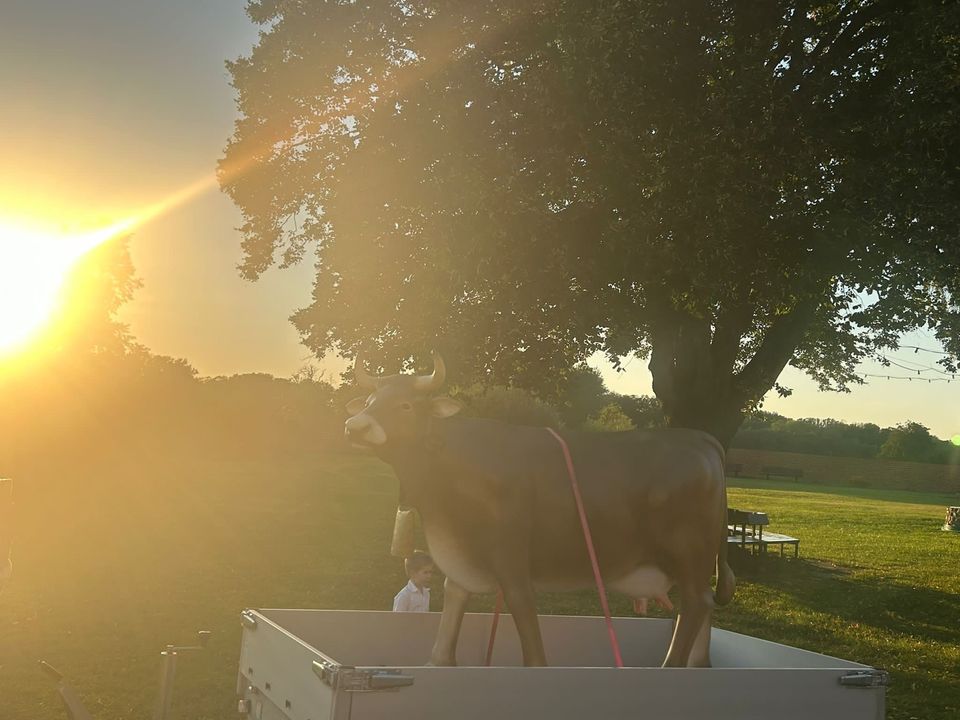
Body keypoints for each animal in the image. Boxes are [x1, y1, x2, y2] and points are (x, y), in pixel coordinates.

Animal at [344, 352, 736, 668]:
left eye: (406, 405)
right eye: (369, 400)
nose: (354, 426)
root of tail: (697, 437)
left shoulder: (511, 558)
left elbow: (525, 619)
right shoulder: (460, 555)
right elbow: (452, 603)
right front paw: (437, 663)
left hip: (689, 551)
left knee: (696, 603)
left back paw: (672, 666)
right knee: (703, 606)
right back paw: (698, 666)